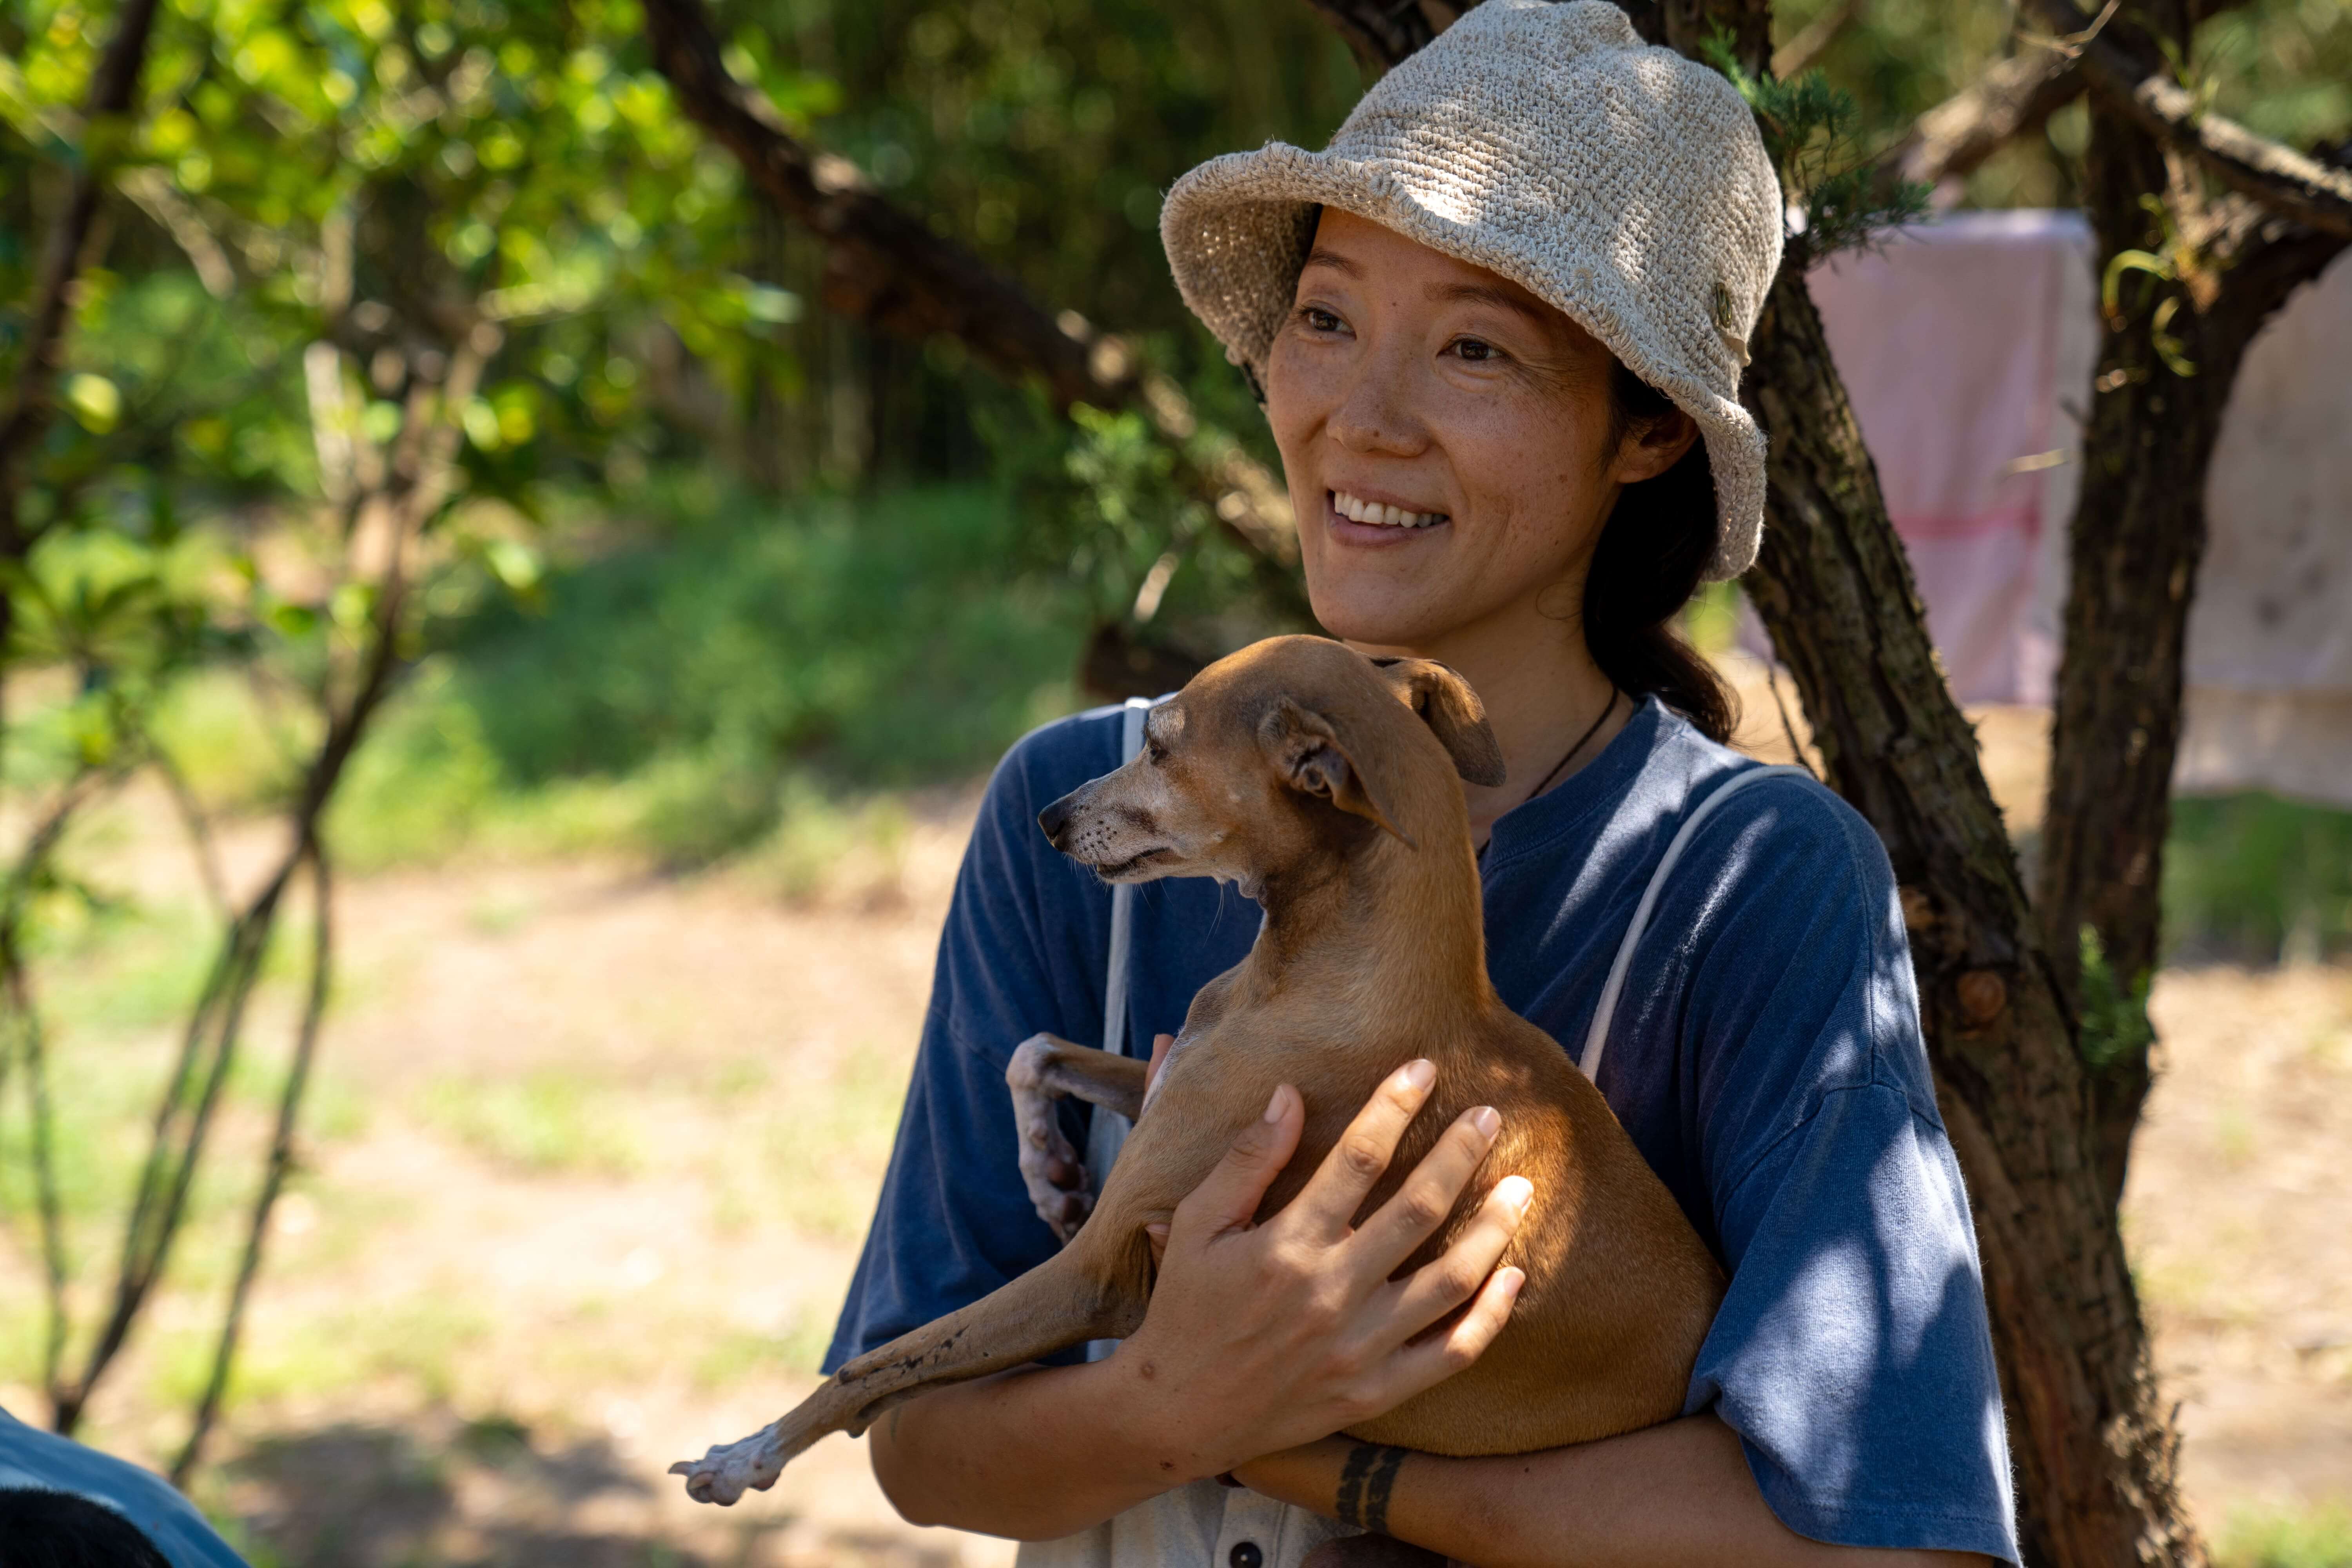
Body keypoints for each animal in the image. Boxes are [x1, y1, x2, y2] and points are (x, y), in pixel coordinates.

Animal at [673, 639, 1722, 1504]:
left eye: (1161, 746)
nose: (1048, 818)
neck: (1327, 975)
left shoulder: (1095, 1272)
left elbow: (883, 1360)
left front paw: (748, 1454)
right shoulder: (1168, 1079)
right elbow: (1033, 1049)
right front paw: (1047, 1170)